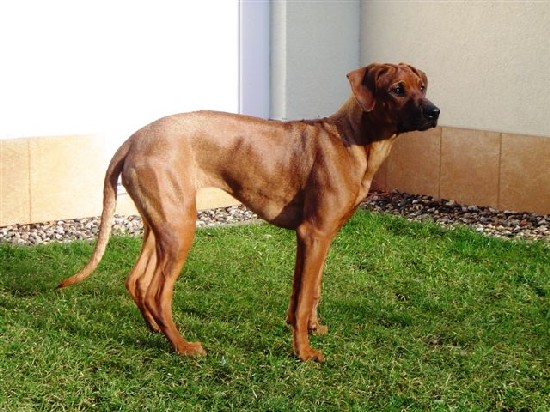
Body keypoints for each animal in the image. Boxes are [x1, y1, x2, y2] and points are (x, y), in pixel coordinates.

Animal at [58, 63, 439, 362]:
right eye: (397, 89)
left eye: (422, 86)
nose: (435, 112)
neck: (351, 139)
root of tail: (134, 139)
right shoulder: (315, 233)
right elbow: (305, 297)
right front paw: (304, 353)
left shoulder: (317, 238)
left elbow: (307, 290)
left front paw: (310, 327)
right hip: (180, 228)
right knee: (156, 292)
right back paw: (182, 346)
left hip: (162, 223)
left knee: (136, 280)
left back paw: (154, 329)